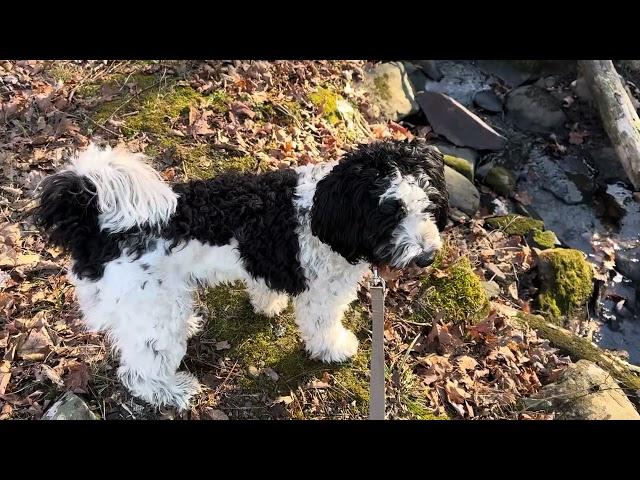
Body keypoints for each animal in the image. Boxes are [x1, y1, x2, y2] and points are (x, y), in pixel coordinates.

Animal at [33, 139, 444, 408]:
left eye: (429, 204)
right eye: (390, 212)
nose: (427, 257)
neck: (325, 212)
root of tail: (96, 230)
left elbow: (266, 287)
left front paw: (269, 305)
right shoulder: (323, 295)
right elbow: (323, 327)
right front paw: (334, 348)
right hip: (153, 313)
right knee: (139, 371)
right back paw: (170, 391)